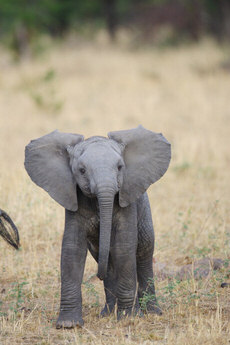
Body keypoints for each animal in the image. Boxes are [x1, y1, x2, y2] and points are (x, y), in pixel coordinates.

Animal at [24, 125, 171, 326]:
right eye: (82, 170)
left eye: (120, 167)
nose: (97, 275)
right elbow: (72, 249)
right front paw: (68, 325)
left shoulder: (127, 201)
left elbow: (123, 246)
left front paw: (127, 319)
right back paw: (107, 313)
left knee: (143, 253)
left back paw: (150, 313)